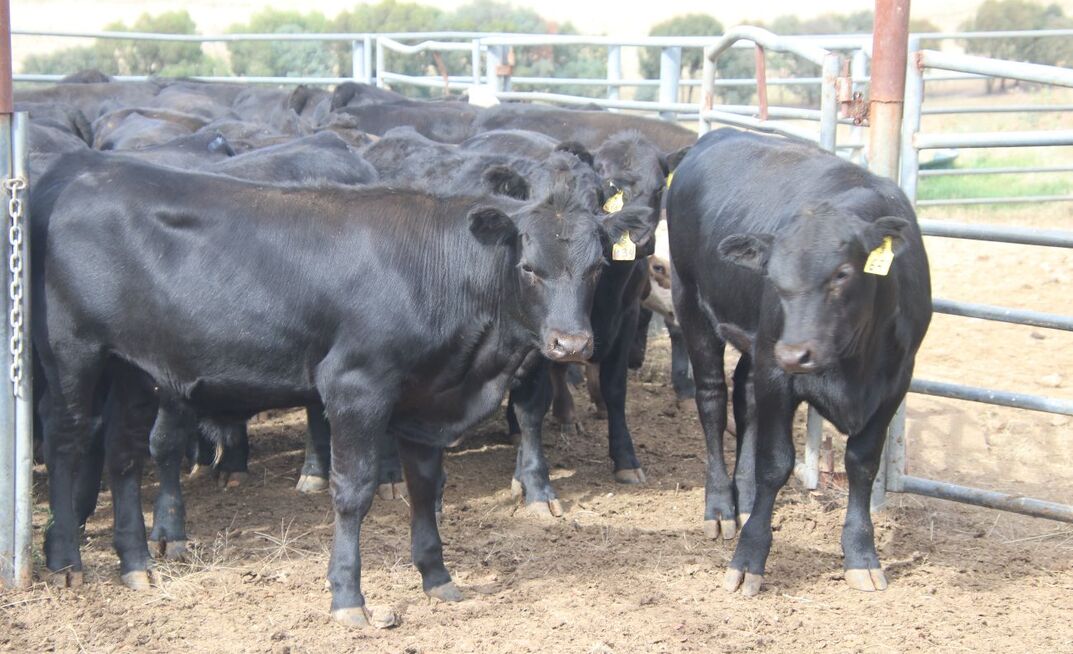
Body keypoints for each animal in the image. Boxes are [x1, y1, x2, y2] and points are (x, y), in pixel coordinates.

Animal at [32, 150, 648, 628]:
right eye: (528, 267)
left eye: (596, 267)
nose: (571, 343)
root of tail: (80, 171)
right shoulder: (356, 385)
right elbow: (353, 491)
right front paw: (349, 598)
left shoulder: (426, 396)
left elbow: (426, 487)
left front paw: (437, 576)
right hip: (73, 352)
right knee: (67, 442)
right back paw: (65, 562)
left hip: (133, 367)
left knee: (123, 455)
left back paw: (136, 564)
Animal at [666, 127, 931, 596]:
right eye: (773, 275)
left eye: (843, 273)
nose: (795, 353)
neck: (853, 366)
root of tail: (715, 135)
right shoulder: (776, 370)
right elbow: (776, 463)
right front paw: (749, 557)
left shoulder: (896, 381)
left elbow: (862, 462)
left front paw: (862, 554)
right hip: (692, 305)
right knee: (713, 402)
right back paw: (721, 507)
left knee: (746, 398)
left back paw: (744, 494)